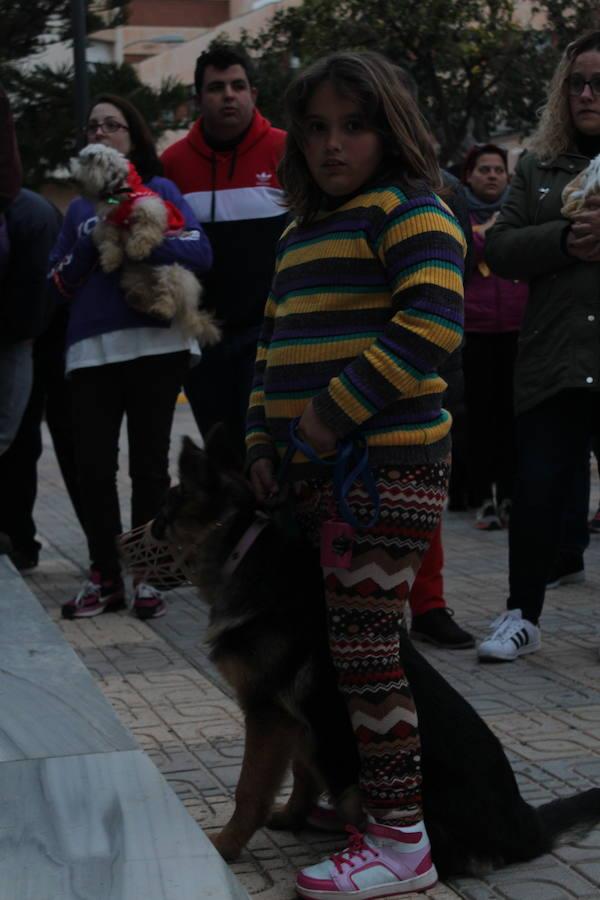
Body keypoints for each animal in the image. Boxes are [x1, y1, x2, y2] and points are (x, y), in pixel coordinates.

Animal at [70, 144, 220, 344]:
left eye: (87, 161)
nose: (71, 177)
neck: (118, 192)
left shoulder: (150, 209)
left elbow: (144, 233)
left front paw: (136, 249)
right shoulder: (108, 223)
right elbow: (109, 243)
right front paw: (109, 261)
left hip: (173, 269)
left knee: (169, 293)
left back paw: (161, 308)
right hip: (132, 276)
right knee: (145, 293)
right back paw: (139, 299)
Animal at [148, 430, 600, 880]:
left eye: (165, 513)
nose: (146, 530)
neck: (243, 553)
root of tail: (527, 825)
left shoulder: (268, 716)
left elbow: (249, 790)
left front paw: (224, 846)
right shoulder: (299, 723)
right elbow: (302, 774)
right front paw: (293, 816)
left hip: (362, 788)